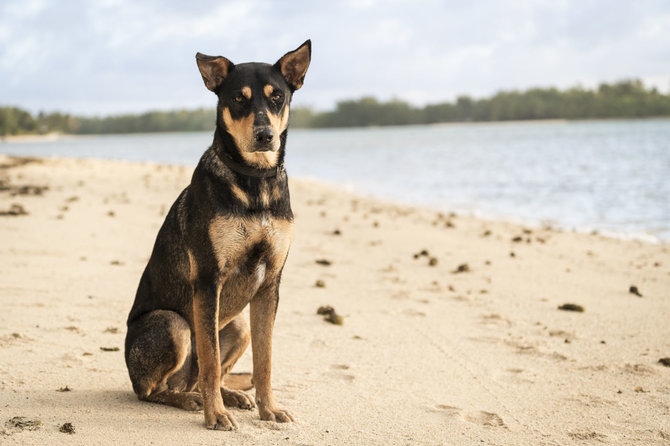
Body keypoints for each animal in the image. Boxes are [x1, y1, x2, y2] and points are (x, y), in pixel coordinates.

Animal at [124, 40, 312, 430]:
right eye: (238, 98)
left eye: (277, 97)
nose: (265, 136)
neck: (255, 180)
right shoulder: (209, 279)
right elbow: (209, 361)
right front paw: (216, 415)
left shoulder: (270, 283)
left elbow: (264, 361)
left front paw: (269, 409)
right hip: (174, 324)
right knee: (157, 389)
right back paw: (189, 400)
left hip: (238, 325)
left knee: (205, 374)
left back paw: (231, 395)